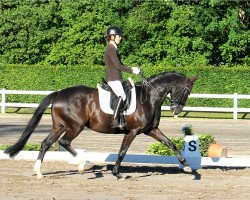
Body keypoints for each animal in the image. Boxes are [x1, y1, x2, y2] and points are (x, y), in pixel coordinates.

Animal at [4, 72, 197, 180]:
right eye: (185, 91)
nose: (176, 110)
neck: (149, 98)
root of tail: (59, 93)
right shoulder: (132, 131)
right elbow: (122, 152)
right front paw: (117, 173)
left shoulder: (151, 130)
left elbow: (170, 144)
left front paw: (188, 167)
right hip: (75, 127)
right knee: (64, 142)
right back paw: (83, 165)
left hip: (60, 126)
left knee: (46, 143)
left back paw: (39, 172)